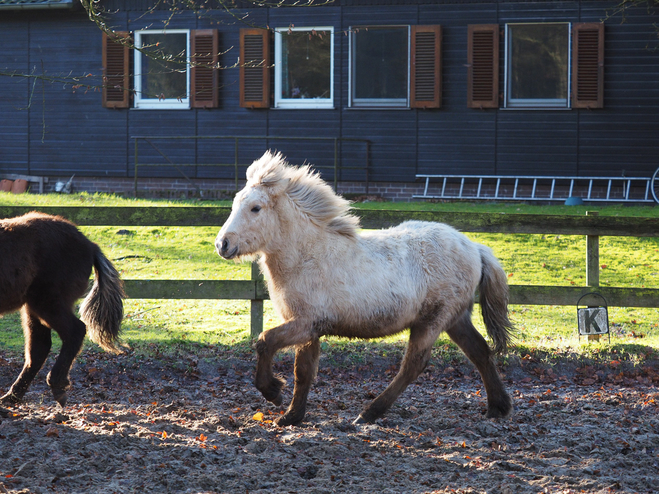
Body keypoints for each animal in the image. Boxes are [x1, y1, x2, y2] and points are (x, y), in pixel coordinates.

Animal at [0, 212, 125, 410]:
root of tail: (90, 245)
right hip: (34, 306)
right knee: (39, 348)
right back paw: (11, 397)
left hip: (47, 304)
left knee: (75, 331)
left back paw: (57, 386)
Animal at [217, 152, 516, 426]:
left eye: (255, 208)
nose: (222, 244)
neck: (308, 255)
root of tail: (475, 248)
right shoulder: (307, 328)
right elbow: (303, 372)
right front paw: (292, 416)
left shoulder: (305, 323)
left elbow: (264, 341)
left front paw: (273, 392)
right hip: (455, 319)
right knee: (480, 351)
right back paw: (497, 407)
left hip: (432, 321)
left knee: (413, 365)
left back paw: (369, 413)